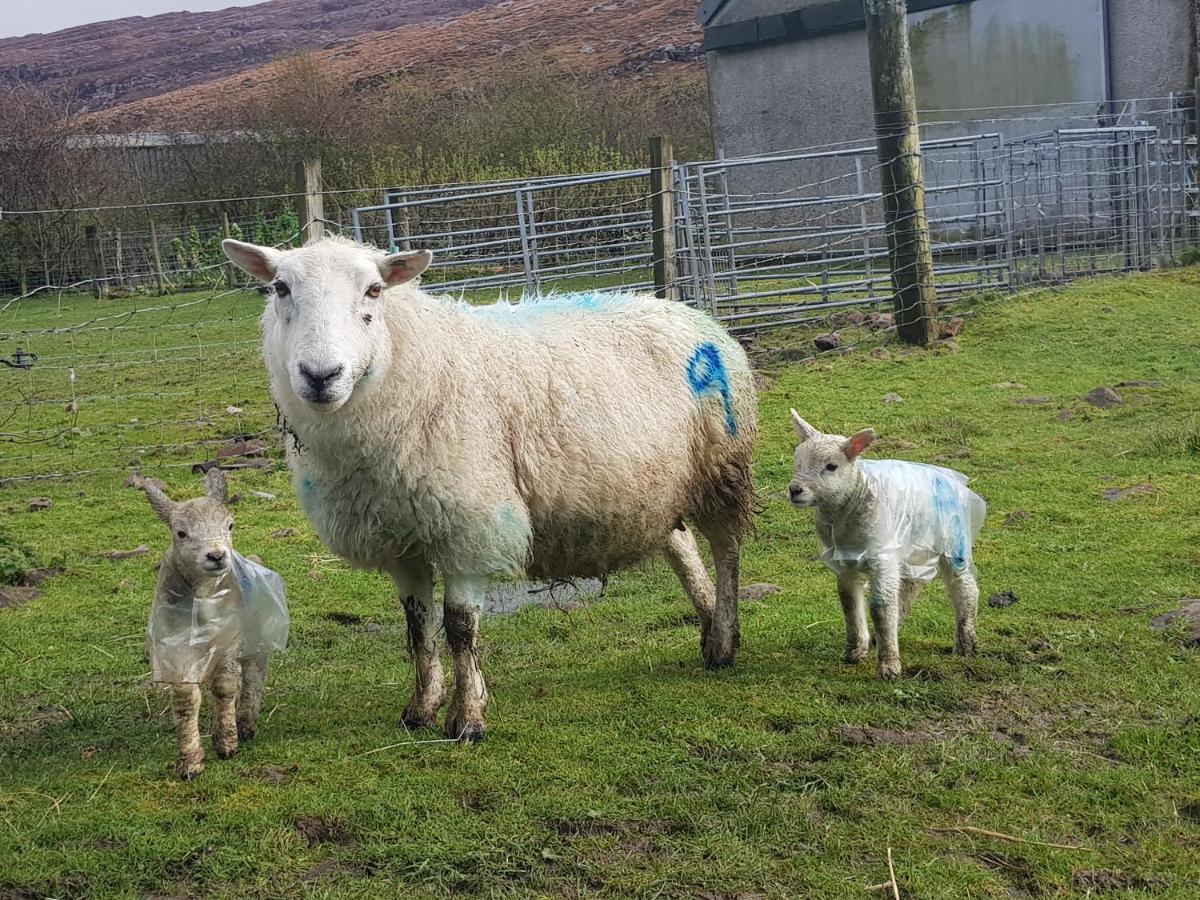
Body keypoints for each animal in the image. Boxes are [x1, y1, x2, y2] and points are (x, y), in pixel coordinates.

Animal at [139, 472, 286, 782]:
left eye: (230, 525)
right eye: (180, 533)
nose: (217, 556)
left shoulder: (230, 644)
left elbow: (225, 688)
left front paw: (227, 743)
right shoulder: (176, 650)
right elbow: (185, 701)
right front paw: (190, 762)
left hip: (256, 638)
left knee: (254, 675)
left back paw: (246, 723)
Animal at [220, 236, 753, 744]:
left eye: (373, 290)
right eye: (280, 288)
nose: (320, 376)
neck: (415, 368)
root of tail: (684, 311)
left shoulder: (470, 526)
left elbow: (459, 626)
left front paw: (468, 718)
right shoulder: (397, 538)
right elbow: (416, 624)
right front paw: (422, 708)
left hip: (722, 467)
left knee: (726, 549)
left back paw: (726, 637)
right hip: (656, 486)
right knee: (681, 546)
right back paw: (708, 629)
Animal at [787, 412, 984, 681]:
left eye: (831, 466)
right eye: (797, 461)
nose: (794, 490)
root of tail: (955, 479)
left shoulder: (882, 556)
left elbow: (880, 607)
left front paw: (889, 667)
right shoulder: (844, 561)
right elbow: (849, 602)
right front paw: (855, 651)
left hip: (953, 542)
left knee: (965, 588)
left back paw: (965, 643)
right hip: (909, 548)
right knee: (908, 587)